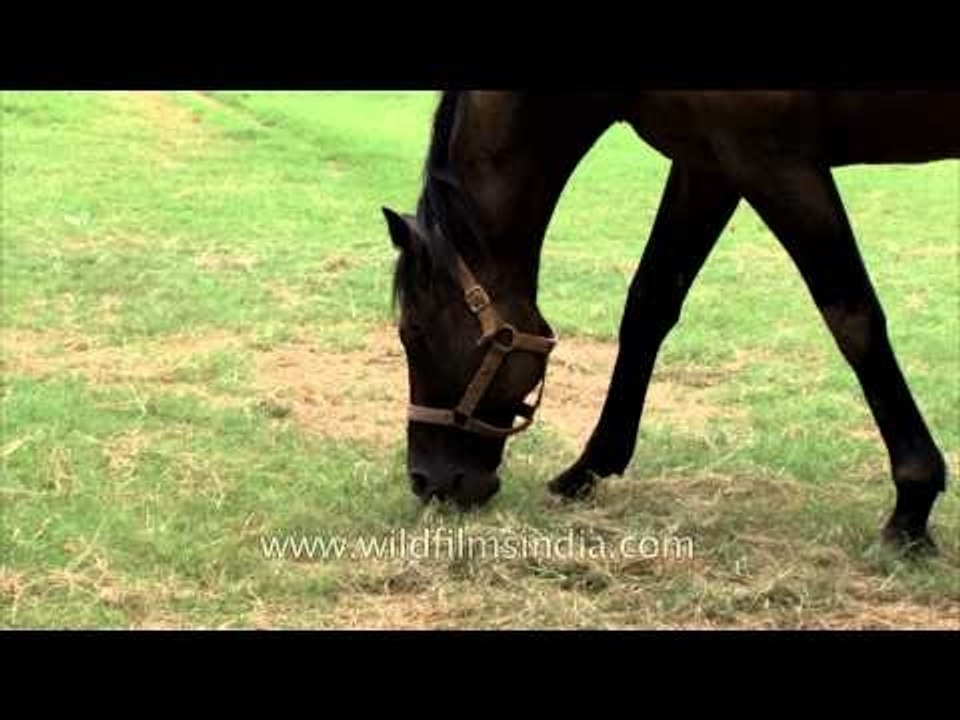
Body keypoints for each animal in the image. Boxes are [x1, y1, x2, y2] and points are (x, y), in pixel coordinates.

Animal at [382, 91, 959, 552]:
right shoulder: (709, 162)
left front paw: (913, 504)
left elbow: (852, 317)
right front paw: (589, 466)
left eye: (414, 335)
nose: (427, 481)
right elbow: (650, 302)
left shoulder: (773, 160)